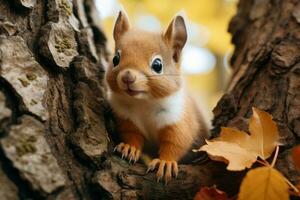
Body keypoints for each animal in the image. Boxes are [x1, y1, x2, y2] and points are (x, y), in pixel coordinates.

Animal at [105, 10, 209, 183]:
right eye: (115, 59)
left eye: (157, 65)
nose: (127, 77)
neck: (144, 103)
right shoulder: (127, 118)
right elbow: (132, 135)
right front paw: (129, 147)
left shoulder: (178, 119)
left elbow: (175, 142)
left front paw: (165, 162)